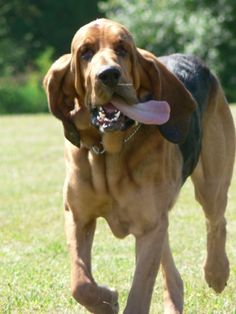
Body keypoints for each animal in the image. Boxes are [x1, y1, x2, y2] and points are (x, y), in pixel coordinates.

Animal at [43, 18, 235, 312]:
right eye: (85, 52)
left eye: (122, 49)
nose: (109, 75)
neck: (108, 153)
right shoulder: (77, 216)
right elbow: (80, 284)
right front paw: (106, 300)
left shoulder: (148, 227)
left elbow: (138, 295)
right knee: (173, 273)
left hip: (211, 185)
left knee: (216, 221)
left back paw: (216, 272)